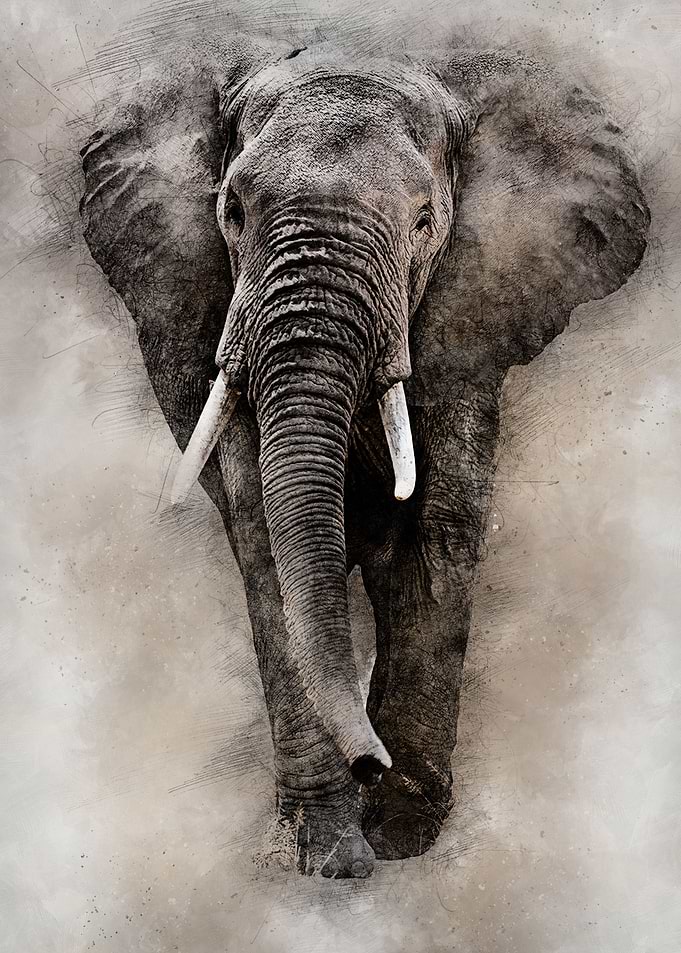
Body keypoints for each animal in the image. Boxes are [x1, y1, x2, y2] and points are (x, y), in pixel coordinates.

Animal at [79, 32, 649, 879]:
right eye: (232, 211)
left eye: (424, 221)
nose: (367, 763)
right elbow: (263, 534)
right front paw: (329, 855)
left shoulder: (464, 316)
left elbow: (434, 531)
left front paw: (400, 835)